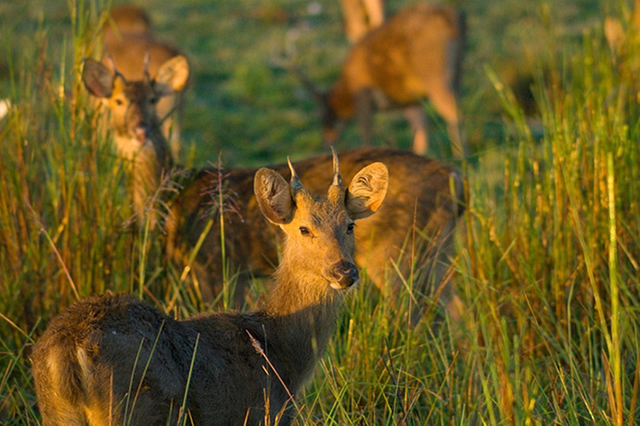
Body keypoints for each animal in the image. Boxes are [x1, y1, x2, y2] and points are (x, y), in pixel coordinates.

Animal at [31, 150, 390, 426]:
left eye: (350, 225)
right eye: (304, 229)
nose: (344, 271)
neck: (278, 349)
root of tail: (68, 351)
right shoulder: (262, 413)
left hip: (58, 412)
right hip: (130, 407)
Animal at [82, 55, 468, 324]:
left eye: (153, 100)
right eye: (117, 102)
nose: (140, 129)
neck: (174, 199)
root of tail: (456, 180)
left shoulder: (219, 266)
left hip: (397, 253)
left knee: (414, 317)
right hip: (438, 250)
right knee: (461, 313)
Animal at [294, 2, 464, 158]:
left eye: (321, 114)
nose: (325, 141)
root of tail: (451, 21)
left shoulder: (363, 93)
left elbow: (366, 130)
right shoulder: (411, 100)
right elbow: (420, 131)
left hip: (435, 76)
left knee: (454, 113)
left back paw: (460, 156)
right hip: (455, 75)